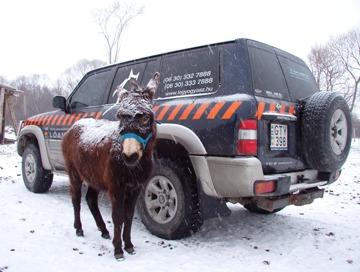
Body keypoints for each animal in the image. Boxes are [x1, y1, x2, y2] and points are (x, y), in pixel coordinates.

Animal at [62, 73, 160, 262]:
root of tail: (74, 126)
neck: (133, 168)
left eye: (146, 117)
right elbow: (118, 217)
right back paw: (79, 228)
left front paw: (129, 245)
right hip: (74, 173)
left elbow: (128, 216)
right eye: (120, 116)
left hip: (93, 176)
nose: (129, 156)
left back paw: (103, 230)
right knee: (76, 199)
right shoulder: (116, 187)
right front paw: (118, 250)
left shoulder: (135, 188)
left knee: (90, 199)